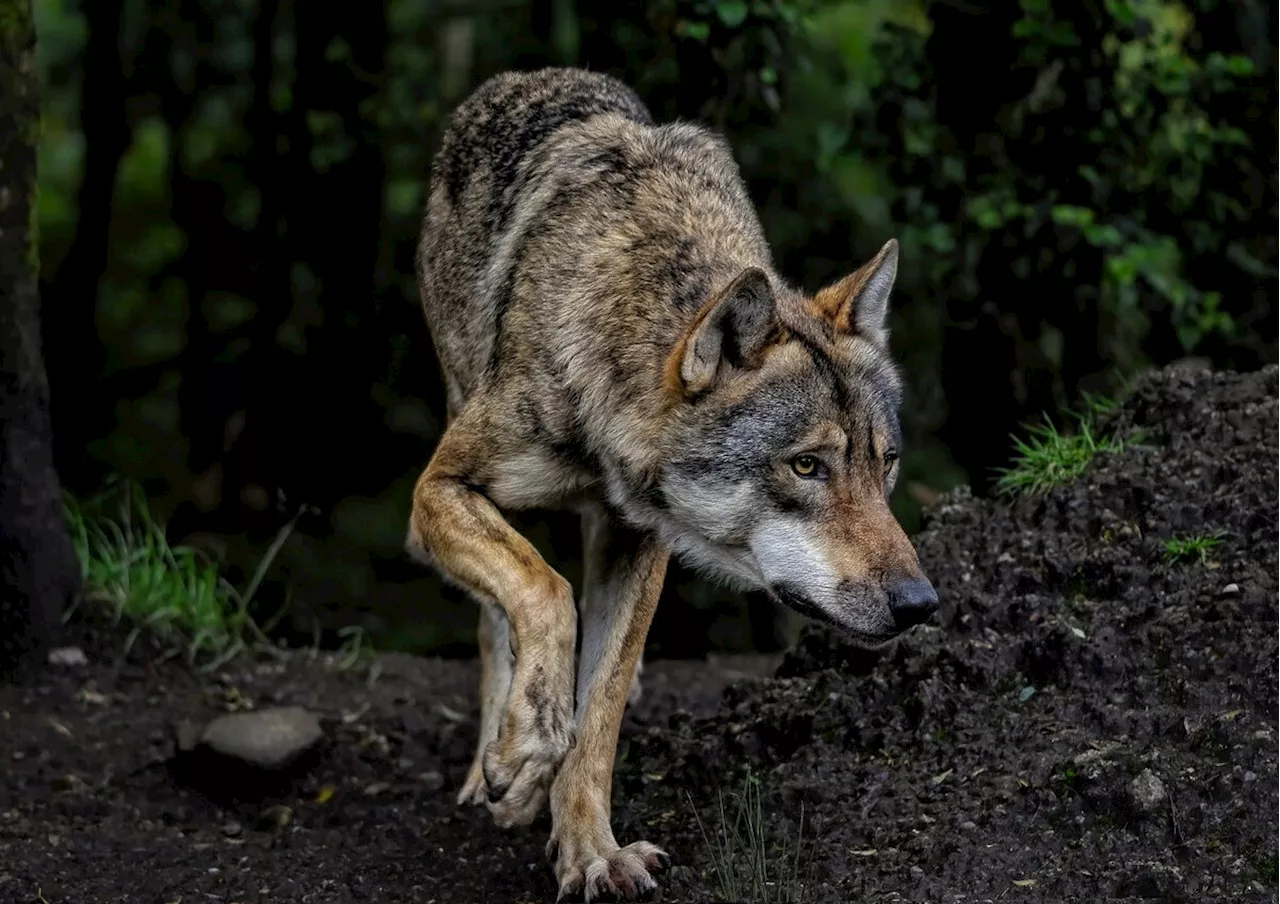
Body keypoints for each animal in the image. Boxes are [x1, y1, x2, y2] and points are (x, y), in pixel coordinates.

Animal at [409, 66, 942, 896]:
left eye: (882, 462)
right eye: (806, 465)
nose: (921, 605)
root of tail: (522, 78)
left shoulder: (639, 541)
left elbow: (600, 709)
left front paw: (591, 853)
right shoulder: (438, 490)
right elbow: (544, 592)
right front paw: (525, 750)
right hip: (459, 414)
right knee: (496, 614)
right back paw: (495, 764)